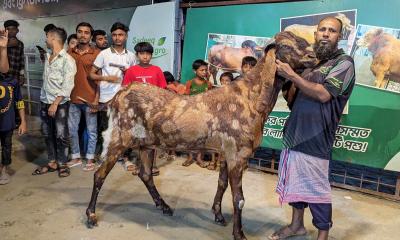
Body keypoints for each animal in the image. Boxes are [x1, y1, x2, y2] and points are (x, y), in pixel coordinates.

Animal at [86, 31, 318, 240]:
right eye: (285, 46)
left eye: (304, 40)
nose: (313, 56)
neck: (250, 99)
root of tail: (117, 96)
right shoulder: (238, 153)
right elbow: (239, 198)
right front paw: (239, 234)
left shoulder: (225, 151)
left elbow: (222, 184)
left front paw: (218, 215)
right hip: (119, 138)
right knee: (100, 175)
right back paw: (91, 215)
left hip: (146, 143)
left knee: (145, 175)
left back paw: (164, 206)